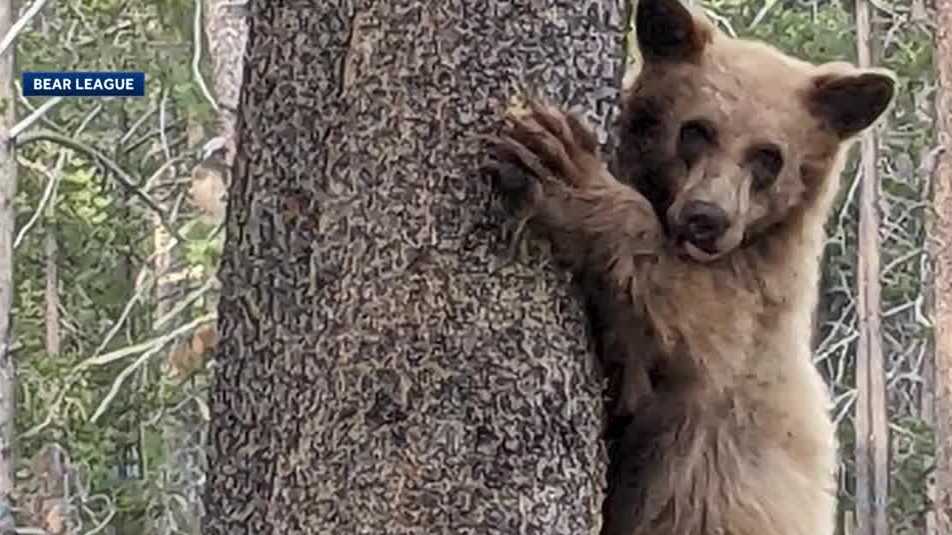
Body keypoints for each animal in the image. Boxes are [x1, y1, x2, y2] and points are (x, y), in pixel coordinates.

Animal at [488, 1, 896, 535]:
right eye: (696, 130)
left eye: (768, 156)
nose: (707, 218)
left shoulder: (756, 311)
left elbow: (693, 319)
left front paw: (562, 164)